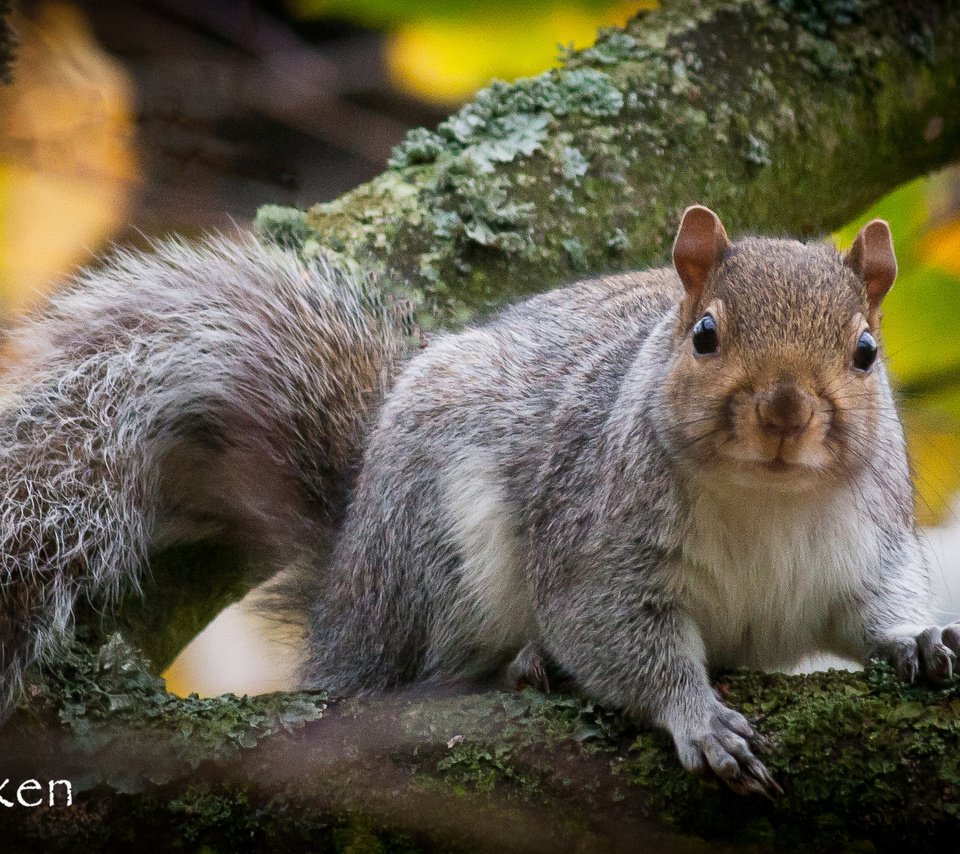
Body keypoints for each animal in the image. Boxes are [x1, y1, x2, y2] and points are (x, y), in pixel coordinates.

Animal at [1, 204, 960, 800]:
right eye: (705, 335)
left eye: (866, 352)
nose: (785, 413)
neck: (764, 499)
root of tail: (347, 587)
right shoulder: (596, 551)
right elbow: (619, 641)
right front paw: (699, 718)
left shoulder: (865, 547)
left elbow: (872, 611)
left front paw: (920, 642)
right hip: (440, 558)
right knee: (419, 677)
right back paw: (518, 667)